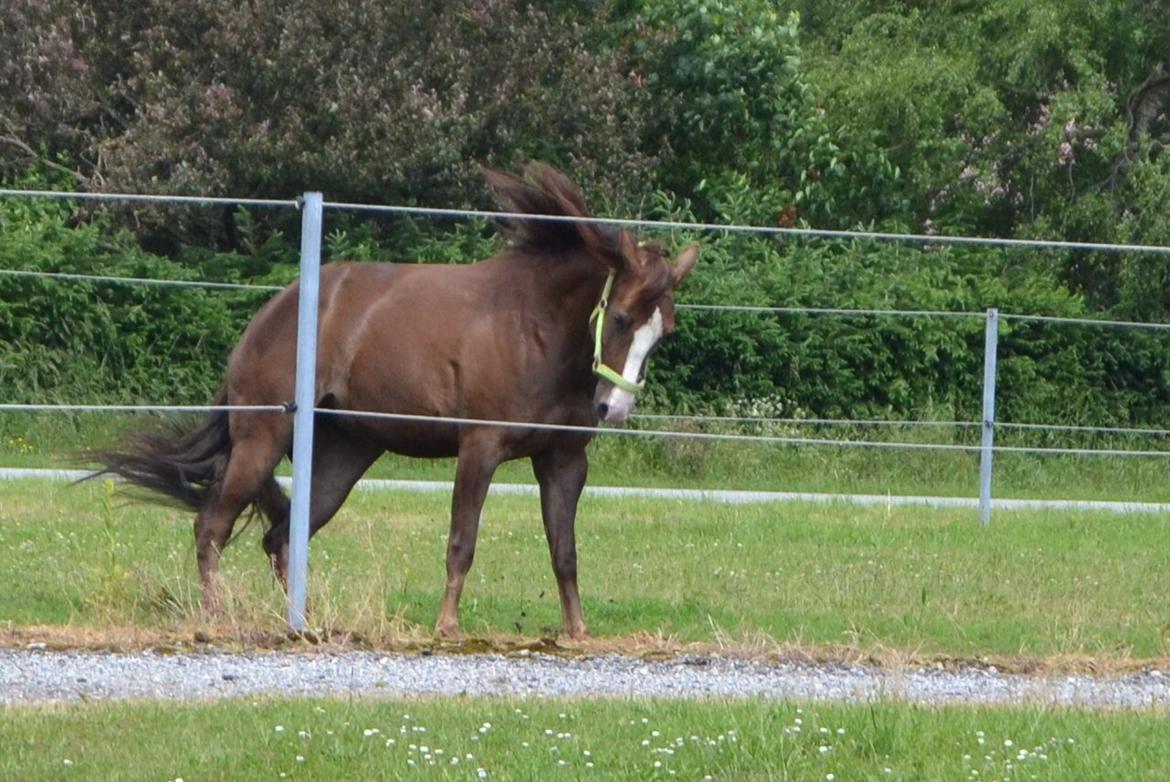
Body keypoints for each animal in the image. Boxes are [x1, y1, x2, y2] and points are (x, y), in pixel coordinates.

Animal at [91, 165, 697, 641]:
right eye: (621, 318)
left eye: (664, 331)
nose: (613, 409)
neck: (535, 328)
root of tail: (268, 316)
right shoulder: (480, 448)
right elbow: (462, 541)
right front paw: (447, 625)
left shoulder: (564, 460)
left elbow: (564, 549)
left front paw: (577, 629)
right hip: (261, 440)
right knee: (212, 527)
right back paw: (216, 616)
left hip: (342, 457)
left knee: (280, 536)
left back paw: (306, 620)